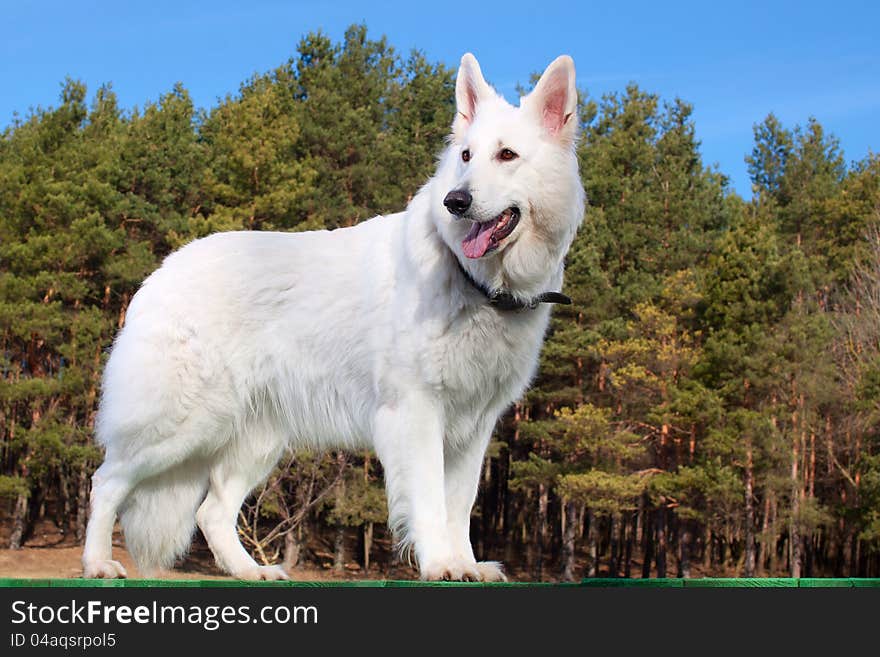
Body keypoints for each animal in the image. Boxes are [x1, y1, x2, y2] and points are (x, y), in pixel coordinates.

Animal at [82, 55, 584, 580]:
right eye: (466, 156)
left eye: (507, 155)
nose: (456, 202)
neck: (474, 282)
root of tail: (159, 273)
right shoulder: (417, 412)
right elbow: (430, 500)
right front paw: (440, 563)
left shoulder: (476, 426)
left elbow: (459, 504)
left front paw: (465, 564)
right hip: (180, 424)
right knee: (106, 481)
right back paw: (97, 561)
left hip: (255, 441)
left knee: (211, 512)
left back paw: (251, 571)